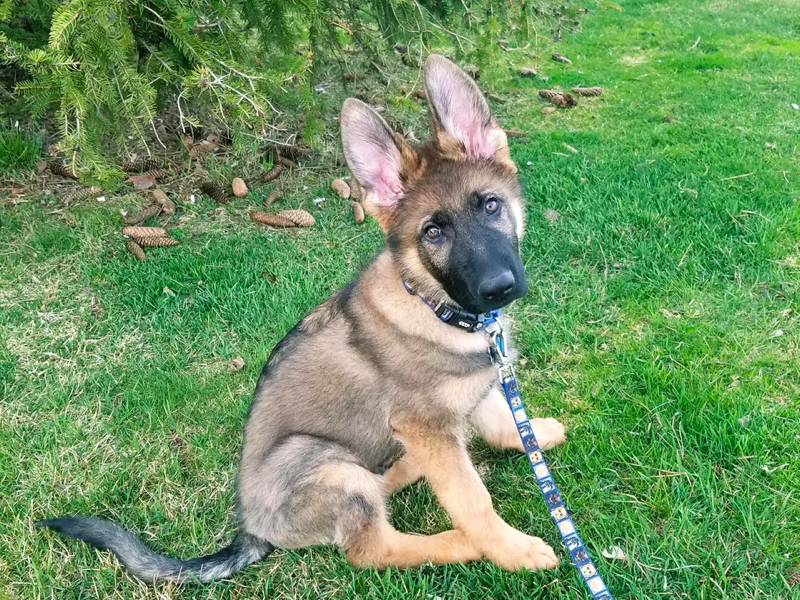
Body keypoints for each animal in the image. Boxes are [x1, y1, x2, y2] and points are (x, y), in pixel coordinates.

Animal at [42, 55, 564, 580]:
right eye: (433, 232)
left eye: (491, 205)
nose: (498, 287)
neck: (430, 303)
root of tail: (252, 529)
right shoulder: (427, 428)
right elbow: (471, 499)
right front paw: (510, 549)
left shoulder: (477, 388)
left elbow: (502, 423)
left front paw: (533, 434)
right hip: (324, 461)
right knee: (369, 550)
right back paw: (459, 544)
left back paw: (405, 470)